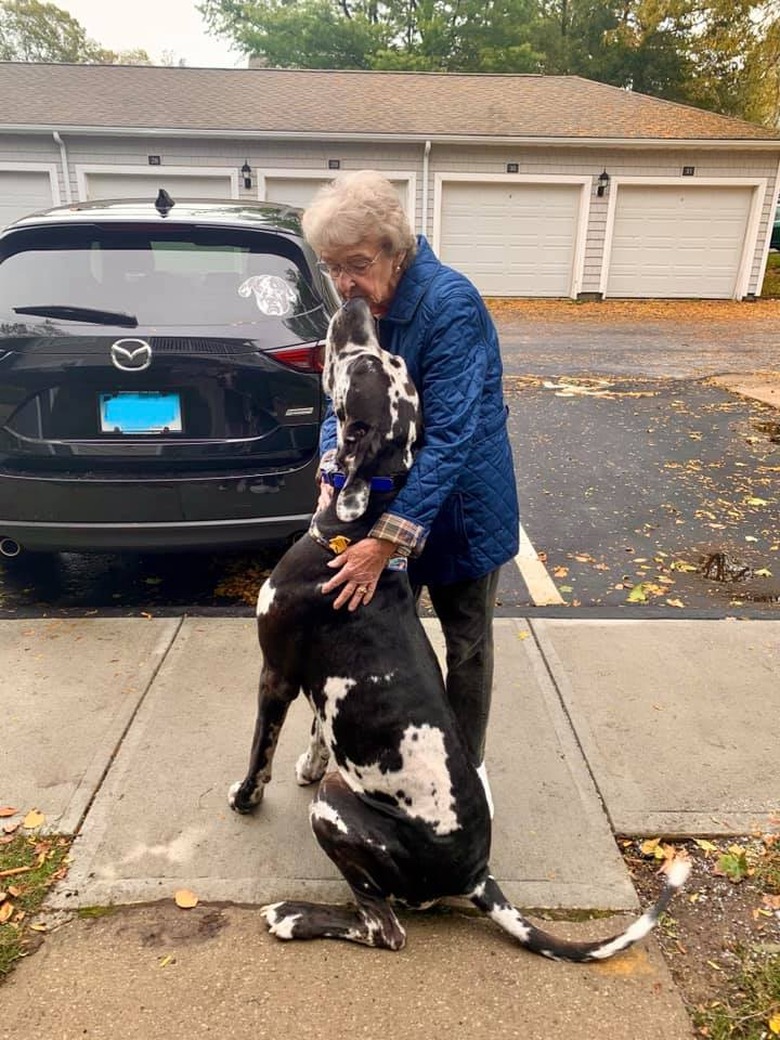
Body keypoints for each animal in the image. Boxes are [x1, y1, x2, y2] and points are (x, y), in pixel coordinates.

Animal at [227, 299, 690, 956]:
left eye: (366, 365)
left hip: (337, 811)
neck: (354, 529)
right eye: (388, 360)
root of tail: (476, 875)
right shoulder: (318, 686)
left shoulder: (278, 674)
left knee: (383, 927)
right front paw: (311, 758)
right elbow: (318, 729)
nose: (356, 308)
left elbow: (259, 748)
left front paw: (246, 797)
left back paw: (293, 916)